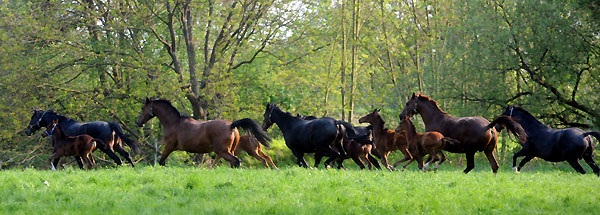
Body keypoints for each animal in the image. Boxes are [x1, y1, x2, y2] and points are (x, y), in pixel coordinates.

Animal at [136, 98, 270, 168]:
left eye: (142, 108)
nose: (138, 122)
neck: (174, 122)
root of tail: (231, 125)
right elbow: (162, 162)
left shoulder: (169, 146)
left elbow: (161, 161)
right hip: (229, 150)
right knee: (234, 162)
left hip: (222, 151)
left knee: (236, 161)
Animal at [400, 93, 528, 174]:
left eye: (407, 103)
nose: (401, 116)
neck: (435, 118)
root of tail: (489, 126)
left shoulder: (431, 148)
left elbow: (428, 161)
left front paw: (426, 168)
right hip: (488, 151)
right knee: (494, 166)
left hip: (470, 151)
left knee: (470, 166)